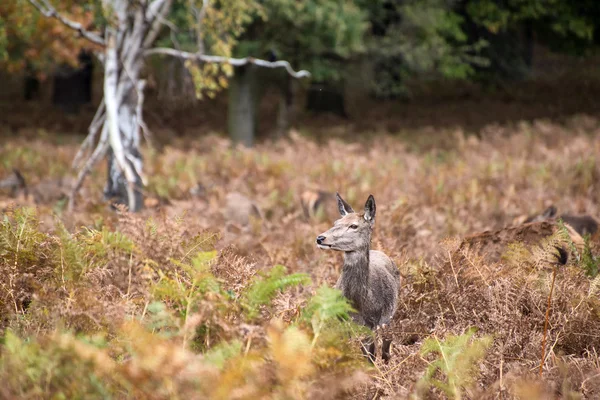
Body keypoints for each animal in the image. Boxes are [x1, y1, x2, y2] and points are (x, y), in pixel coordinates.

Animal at [316, 192, 400, 364]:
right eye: (336, 222)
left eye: (354, 226)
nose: (320, 238)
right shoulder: (341, 322)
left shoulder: (373, 323)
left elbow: (370, 356)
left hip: (390, 316)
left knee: (386, 345)